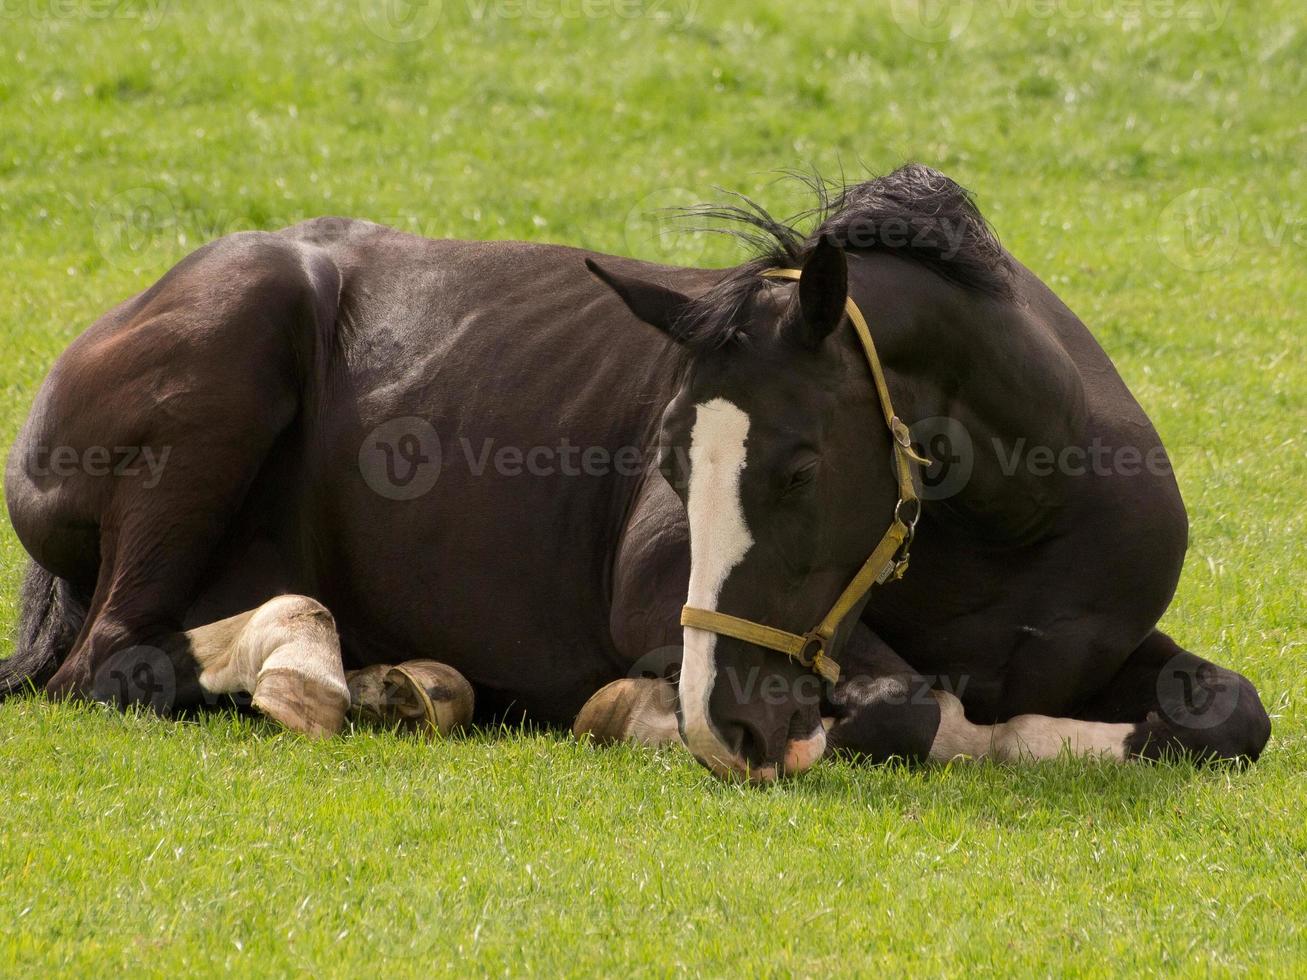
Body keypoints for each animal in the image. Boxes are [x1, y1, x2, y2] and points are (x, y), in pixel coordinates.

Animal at [0, 167, 1265, 783]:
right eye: (664, 458)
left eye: (800, 465)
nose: (727, 720)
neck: (1018, 527)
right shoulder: (660, 589)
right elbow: (913, 704)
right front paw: (643, 713)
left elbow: (1228, 714)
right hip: (225, 369)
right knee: (110, 662)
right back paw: (303, 663)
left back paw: (390, 681)